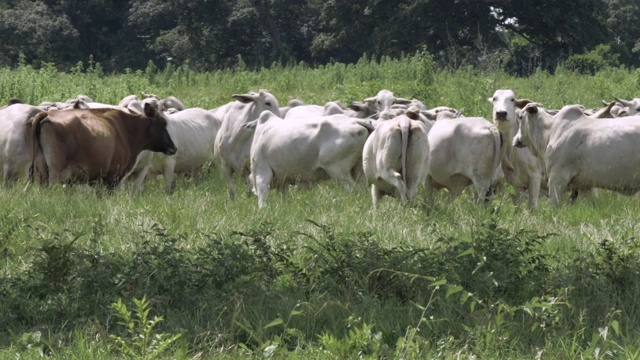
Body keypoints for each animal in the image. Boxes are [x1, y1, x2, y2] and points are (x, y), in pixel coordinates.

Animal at [25, 102, 176, 191]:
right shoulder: (113, 177)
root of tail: (47, 113)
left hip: (42, 172)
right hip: (56, 172)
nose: (174, 148)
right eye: (163, 124)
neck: (126, 129)